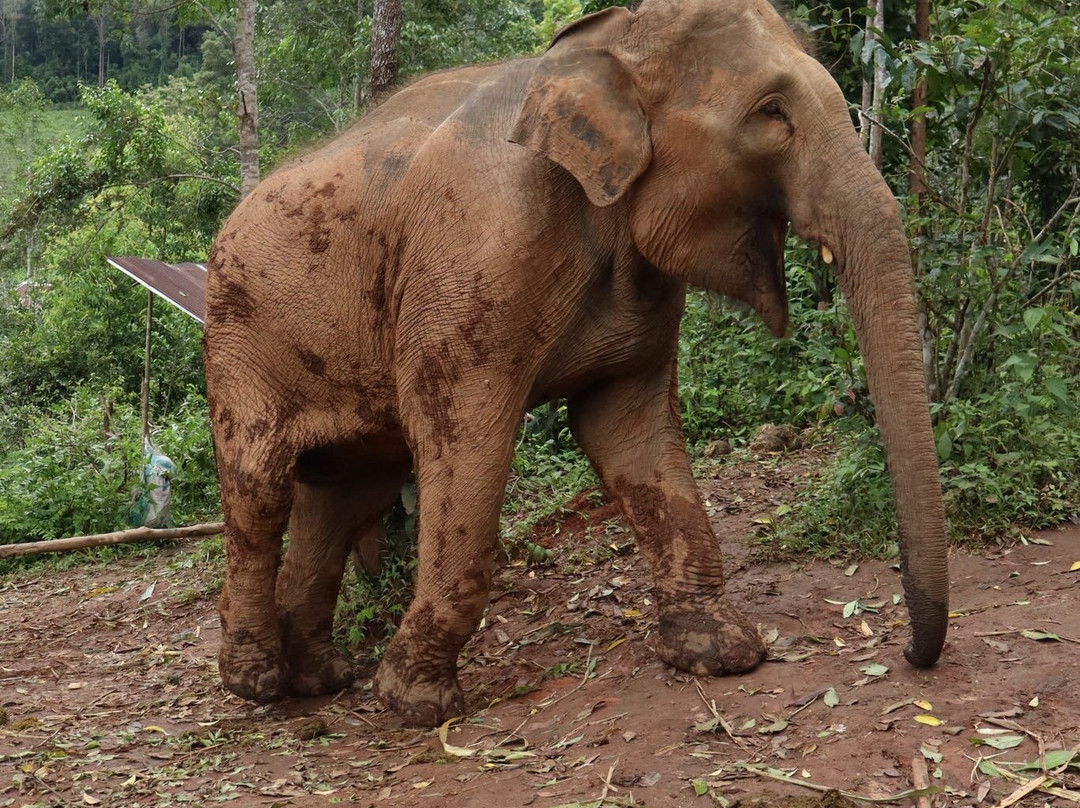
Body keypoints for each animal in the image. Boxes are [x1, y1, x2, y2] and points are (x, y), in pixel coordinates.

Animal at [203, 0, 949, 727]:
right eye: (771, 112)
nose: (912, 655)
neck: (610, 42)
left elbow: (626, 428)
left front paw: (721, 654)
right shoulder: (476, 257)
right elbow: (462, 439)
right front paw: (415, 705)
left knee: (347, 493)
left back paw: (320, 679)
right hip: (239, 341)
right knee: (262, 487)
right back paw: (257, 683)